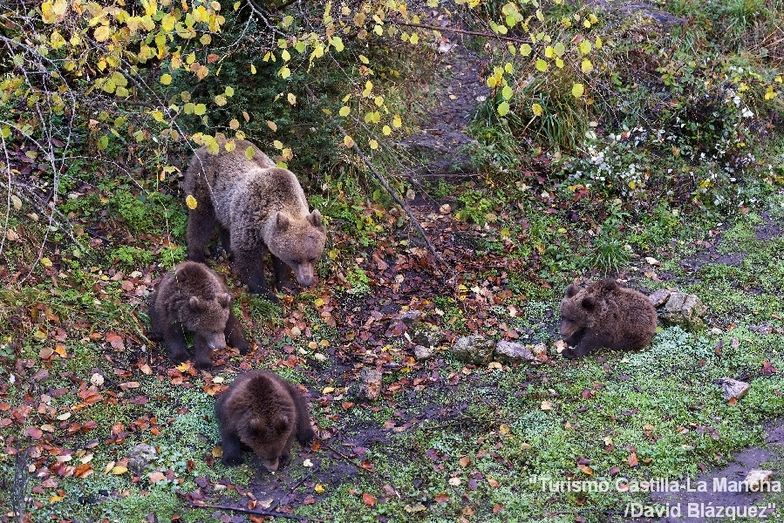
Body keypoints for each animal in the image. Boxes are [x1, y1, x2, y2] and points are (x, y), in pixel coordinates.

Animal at [183, 137, 326, 300]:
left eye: (313, 257)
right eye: (295, 259)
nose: (306, 281)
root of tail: (210, 142)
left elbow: (279, 261)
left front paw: (286, 285)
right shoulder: (250, 219)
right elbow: (249, 259)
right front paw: (266, 293)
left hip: (225, 206)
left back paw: (227, 250)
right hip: (203, 185)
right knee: (200, 221)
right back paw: (197, 256)